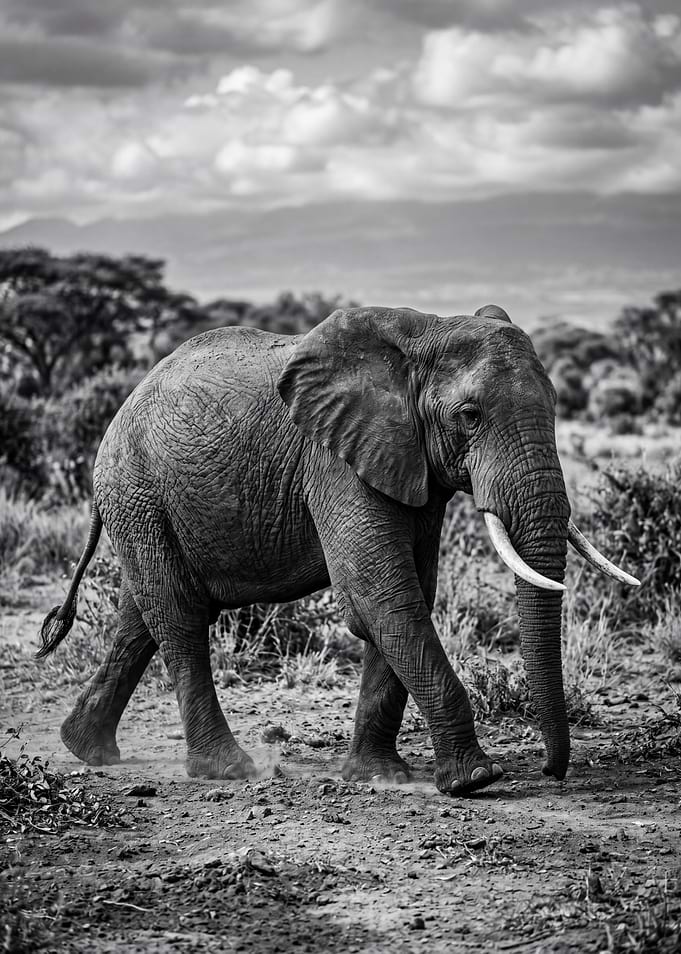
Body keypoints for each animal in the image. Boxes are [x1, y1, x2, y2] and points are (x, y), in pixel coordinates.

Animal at [38, 304, 639, 795]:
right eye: (469, 416)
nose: (551, 772)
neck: (426, 331)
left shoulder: (410, 466)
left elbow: (408, 591)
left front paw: (379, 776)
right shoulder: (334, 461)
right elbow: (380, 594)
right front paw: (475, 779)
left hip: (146, 506)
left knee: (141, 615)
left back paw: (85, 748)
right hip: (138, 492)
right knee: (180, 616)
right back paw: (227, 770)